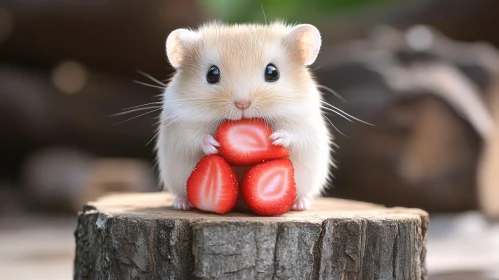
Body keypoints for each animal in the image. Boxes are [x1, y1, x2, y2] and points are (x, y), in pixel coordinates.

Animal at [155, 21, 336, 210]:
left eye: (273, 72)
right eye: (212, 74)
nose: (242, 104)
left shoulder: (305, 122)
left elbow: (294, 134)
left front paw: (276, 139)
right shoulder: (180, 125)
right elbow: (195, 138)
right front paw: (214, 144)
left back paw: (301, 205)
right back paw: (182, 204)